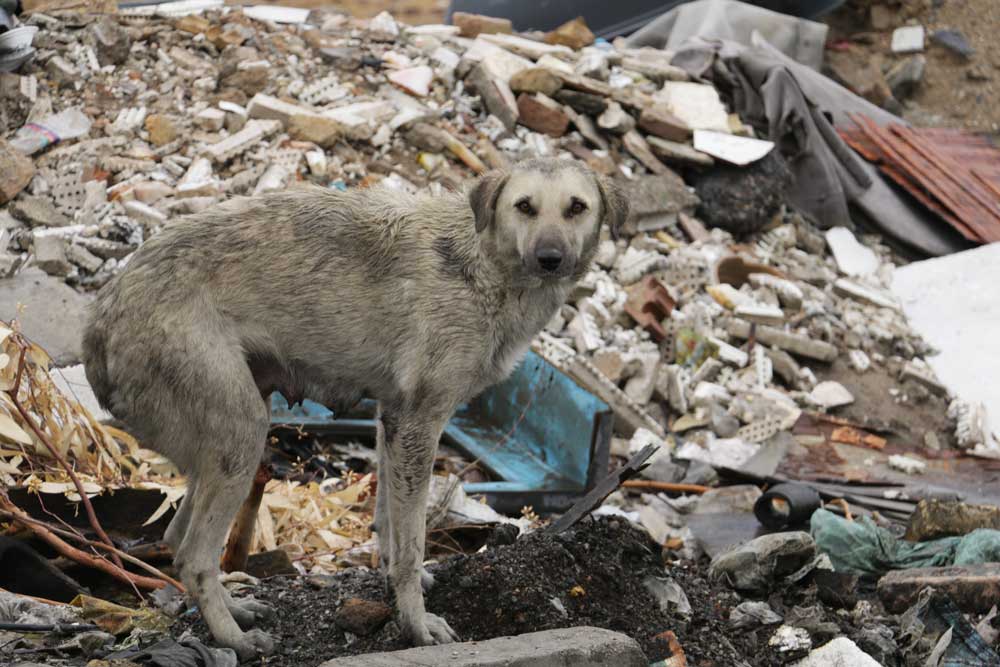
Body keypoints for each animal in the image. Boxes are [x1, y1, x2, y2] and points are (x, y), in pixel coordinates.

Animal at [84, 159, 624, 660]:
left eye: (576, 207)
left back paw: (235, 610)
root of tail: (101, 317)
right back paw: (235, 639)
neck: (483, 265)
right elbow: (412, 544)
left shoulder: (393, 421)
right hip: (243, 436)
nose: (550, 258)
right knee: (195, 556)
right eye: (525, 206)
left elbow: (389, 523)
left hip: (221, 446)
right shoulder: (421, 424)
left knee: (178, 539)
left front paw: (396, 584)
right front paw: (415, 624)